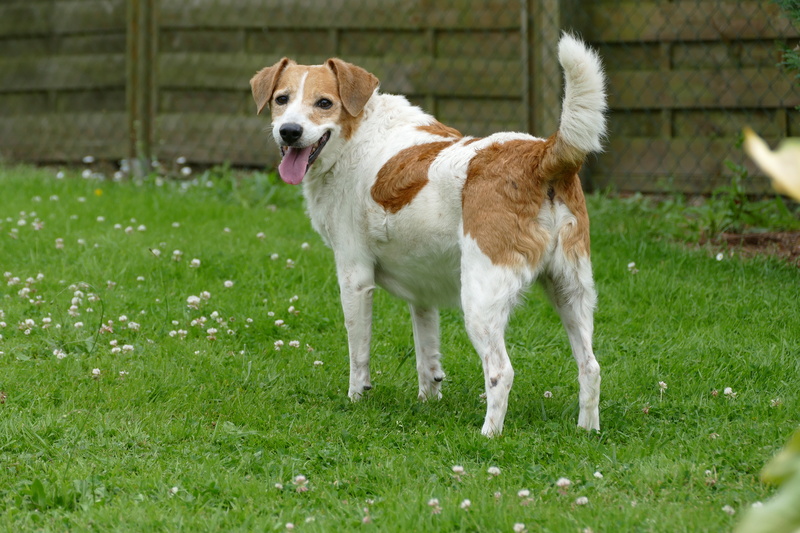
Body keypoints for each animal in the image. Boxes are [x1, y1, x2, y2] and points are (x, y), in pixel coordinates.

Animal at [250, 33, 608, 434]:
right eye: (281, 99)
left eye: (324, 103)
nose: (289, 131)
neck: (358, 135)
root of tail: (539, 153)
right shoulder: (422, 289)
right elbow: (427, 354)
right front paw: (428, 401)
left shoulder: (354, 277)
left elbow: (359, 354)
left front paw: (356, 399)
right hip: (571, 291)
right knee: (590, 367)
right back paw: (587, 431)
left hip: (481, 300)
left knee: (501, 372)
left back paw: (488, 435)